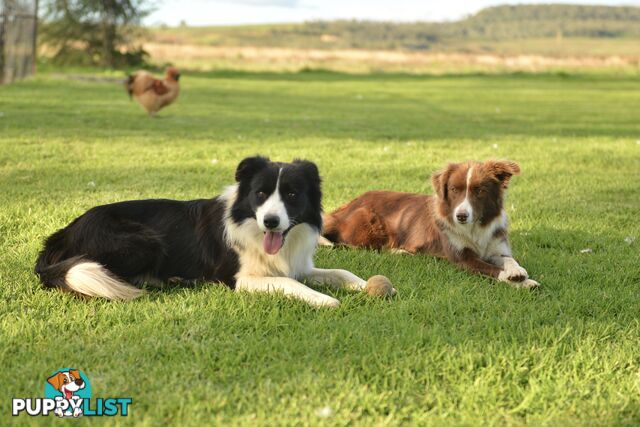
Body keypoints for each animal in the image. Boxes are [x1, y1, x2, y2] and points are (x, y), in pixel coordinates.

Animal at [35, 157, 376, 308]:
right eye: (260, 194)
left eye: (292, 195)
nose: (270, 222)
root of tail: (63, 233)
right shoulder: (240, 279)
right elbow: (287, 283)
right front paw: (323, 299)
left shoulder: (298, 265)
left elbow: (341, 272)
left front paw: (367, 286)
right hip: (142, 241)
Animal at [324, 162, 540, 290]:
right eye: (454, 189)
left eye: (479, 190)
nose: (461, 216)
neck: (475, 228)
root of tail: (349, 204)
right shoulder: (462, 258)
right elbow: (491, 269)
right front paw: (522, 281)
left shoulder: (496, 246)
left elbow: (509, 260)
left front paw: (518, 273)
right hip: (369, 226)